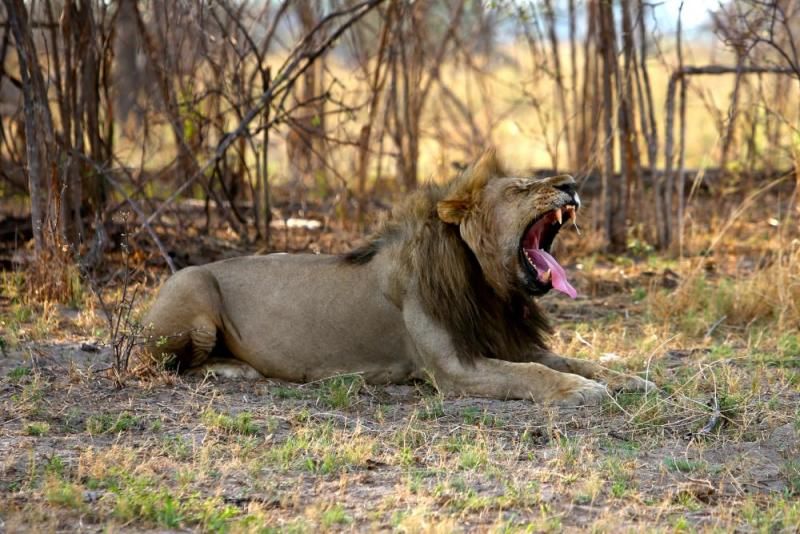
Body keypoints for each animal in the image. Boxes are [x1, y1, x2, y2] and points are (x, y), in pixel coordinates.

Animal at [142, 150, 653, 406]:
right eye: (520, 189)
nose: (570, 184)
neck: (490, 288)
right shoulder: (453, 369)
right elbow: (534, 374)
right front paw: (582, 391)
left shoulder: (506, 342)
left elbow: (571, 360)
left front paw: (627, 378)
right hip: (192, 288)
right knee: (167, 365)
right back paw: (235, 370)